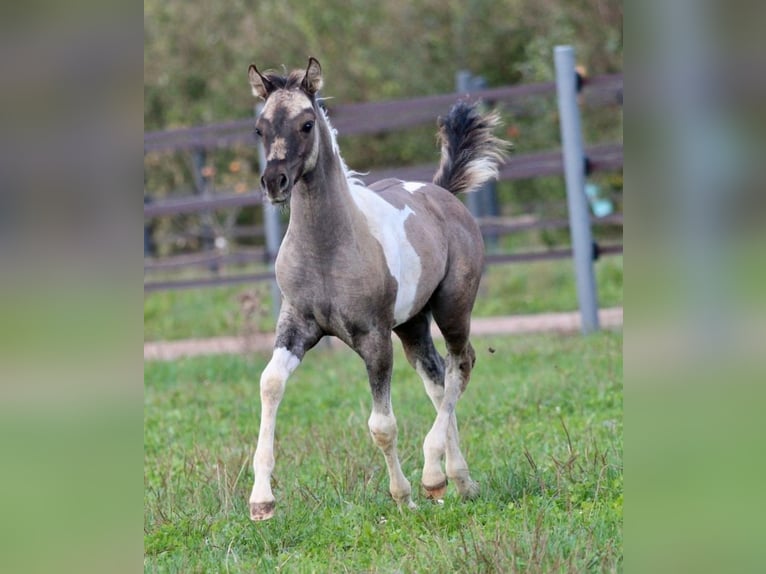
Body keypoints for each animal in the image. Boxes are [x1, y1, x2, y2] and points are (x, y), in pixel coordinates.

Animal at [248, 58, 510, 520]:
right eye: (260, 128)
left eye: (306, 124)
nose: (275, 182)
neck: (328, 248)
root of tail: (440, 191)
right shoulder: (295, 324)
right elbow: (270, 384)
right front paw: (261, 500)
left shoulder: (374, 337)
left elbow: (382, 425)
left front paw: (403, 495)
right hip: (413, 324)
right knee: (437, 379)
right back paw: (459, 480)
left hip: (453, 309)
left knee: (461, 365)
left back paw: (434, 476)